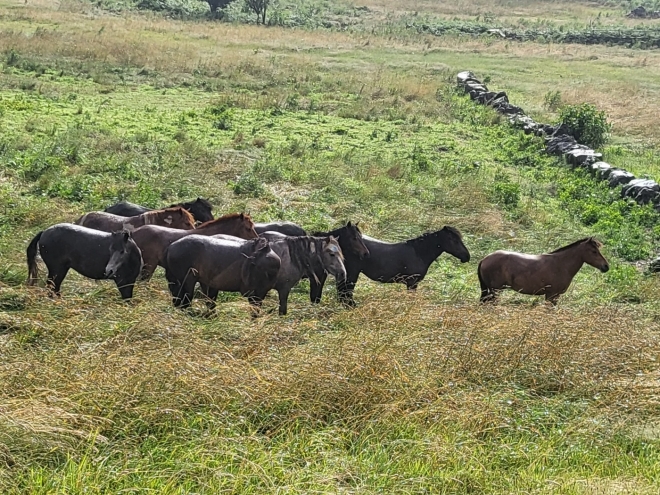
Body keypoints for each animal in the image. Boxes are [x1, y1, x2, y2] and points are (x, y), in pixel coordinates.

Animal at [476, 237, 612, 306]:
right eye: (594, 251)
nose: (606, 266)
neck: (560, 264)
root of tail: (484, 259)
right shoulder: (552, 295)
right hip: (496, 291)